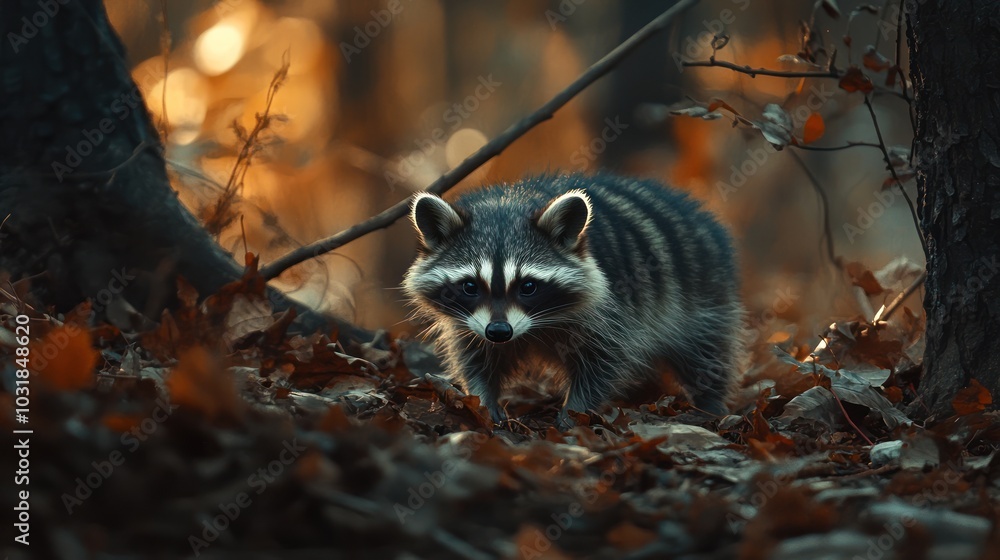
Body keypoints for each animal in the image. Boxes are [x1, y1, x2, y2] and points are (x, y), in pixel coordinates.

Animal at [403, 173, 744, 425]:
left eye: (528, 286)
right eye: (470, 286)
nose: (499, 332)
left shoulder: (614, 307)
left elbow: (605, 360)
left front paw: (574, 411)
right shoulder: (471, 322)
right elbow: (475, 357)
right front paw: (482, 400)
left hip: (702, 293)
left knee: (706, 351)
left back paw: (710, 401)